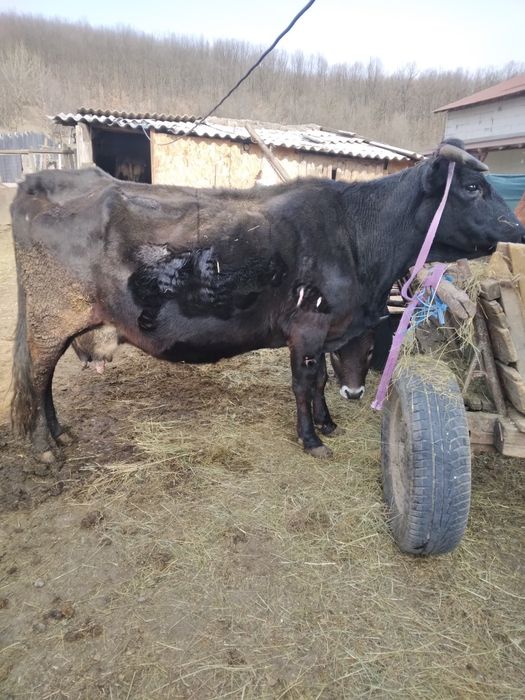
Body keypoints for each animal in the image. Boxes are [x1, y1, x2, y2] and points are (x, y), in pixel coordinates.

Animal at [10, 139, 525, 467]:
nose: (517, 228)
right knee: (37, 377)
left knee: (45, 380)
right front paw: (312, 438)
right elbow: (303, 382)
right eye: (473, 187)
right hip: (51, 318)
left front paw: (327, 422)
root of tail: (39, 184)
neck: (357, 236)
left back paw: (60, 433)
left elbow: (320, 379)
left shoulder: (328, 329)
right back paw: (43, 448)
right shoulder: (307, 325)